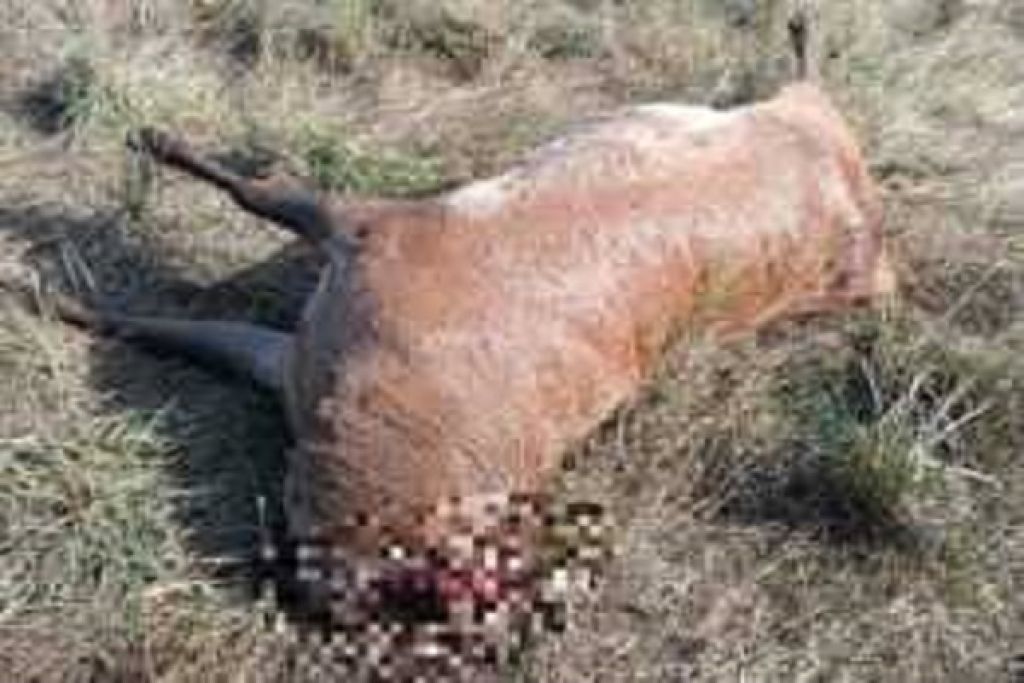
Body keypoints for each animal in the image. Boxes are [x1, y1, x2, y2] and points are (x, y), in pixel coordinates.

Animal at [35, 9, 892, 653]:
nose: (296, 602)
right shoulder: (305, 341)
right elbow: (176, 318)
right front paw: (53, 293)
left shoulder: (376, 235)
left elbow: (263, 196)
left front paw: (142, 151)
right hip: (808, 182)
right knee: (807, 99)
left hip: (819, 173)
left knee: (814, 102)